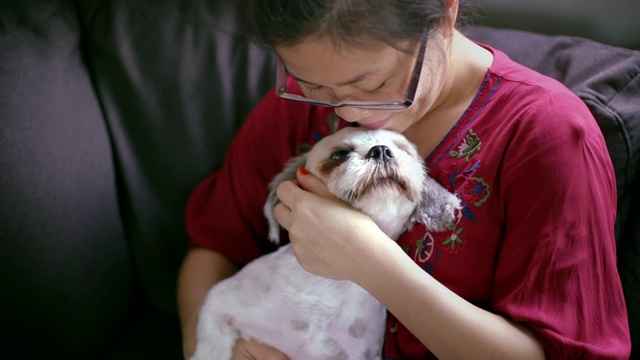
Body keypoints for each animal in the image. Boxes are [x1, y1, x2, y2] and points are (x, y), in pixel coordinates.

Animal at [192, 127, 462, 360]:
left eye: (403, 149)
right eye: (340, 154)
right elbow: (211, 347)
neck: (332, 284)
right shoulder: (219, 301)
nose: (381, 150)